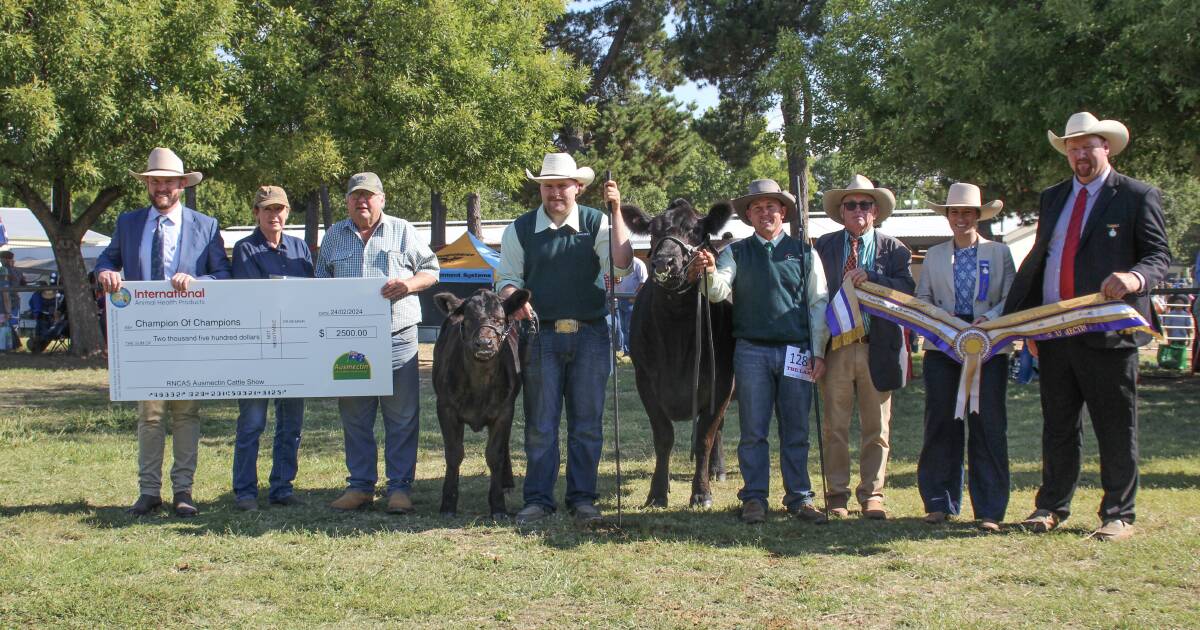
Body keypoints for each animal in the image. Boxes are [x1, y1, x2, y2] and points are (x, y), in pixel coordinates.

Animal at [429, 286, 528, 518]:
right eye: (468, 319)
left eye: (499, 320)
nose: (484, 344)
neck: (479, 386)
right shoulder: (445, 408)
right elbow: (454, 454)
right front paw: (448, 504)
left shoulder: (504, 411)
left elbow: (494, 455)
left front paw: (498, 506)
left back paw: (507, 482)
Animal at [624, 199, 734, 508]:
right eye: (652, 231)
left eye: (695, 231)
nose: (664, 262)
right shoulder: (645, 379)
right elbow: (663, 436)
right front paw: (657, 493)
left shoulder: (722, 382)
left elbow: (705, 437)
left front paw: (702, 493)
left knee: (719, 428)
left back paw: (716, 470)